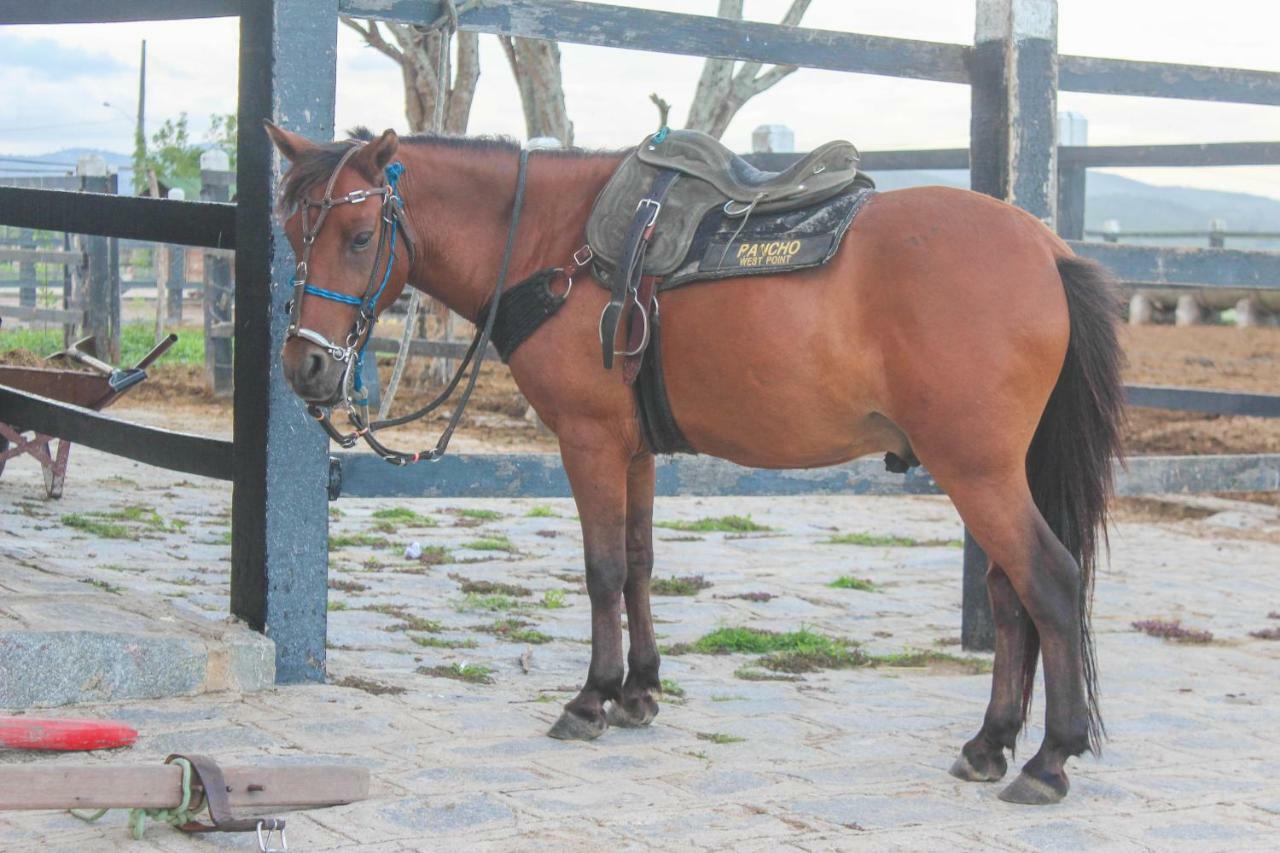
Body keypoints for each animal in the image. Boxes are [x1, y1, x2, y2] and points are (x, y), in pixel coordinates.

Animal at [264, 122, 1126, 799]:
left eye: (361, 238)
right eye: (291, 234)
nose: (306, 368)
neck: (552, 240)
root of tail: (1047, 249)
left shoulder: (588, 440)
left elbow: (603, 569)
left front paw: (591, 698)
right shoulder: (634, 449)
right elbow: (641, 562)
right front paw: (640, 691)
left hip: (977, 472)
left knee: (1051, 581)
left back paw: (1049, 759)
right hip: (990, 473)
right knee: (1011, 595)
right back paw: (990, 742)